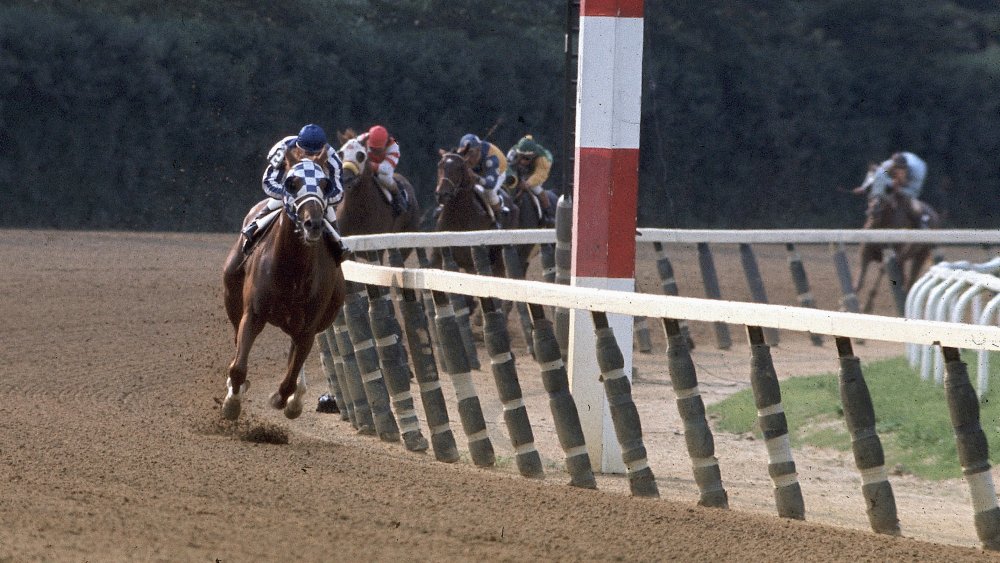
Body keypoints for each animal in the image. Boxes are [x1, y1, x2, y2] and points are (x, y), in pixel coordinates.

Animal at [221, 161, 346, 420]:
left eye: (325, 184)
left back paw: (296, 399)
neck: (291, 269)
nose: (313, 224)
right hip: (233, 298)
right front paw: (232, 402)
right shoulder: (253, 314)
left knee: (295, 359)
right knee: (238, 340)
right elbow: (238, 367)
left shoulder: (308, 328)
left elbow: (290, 377)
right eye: (292, 183)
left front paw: (284, 399)